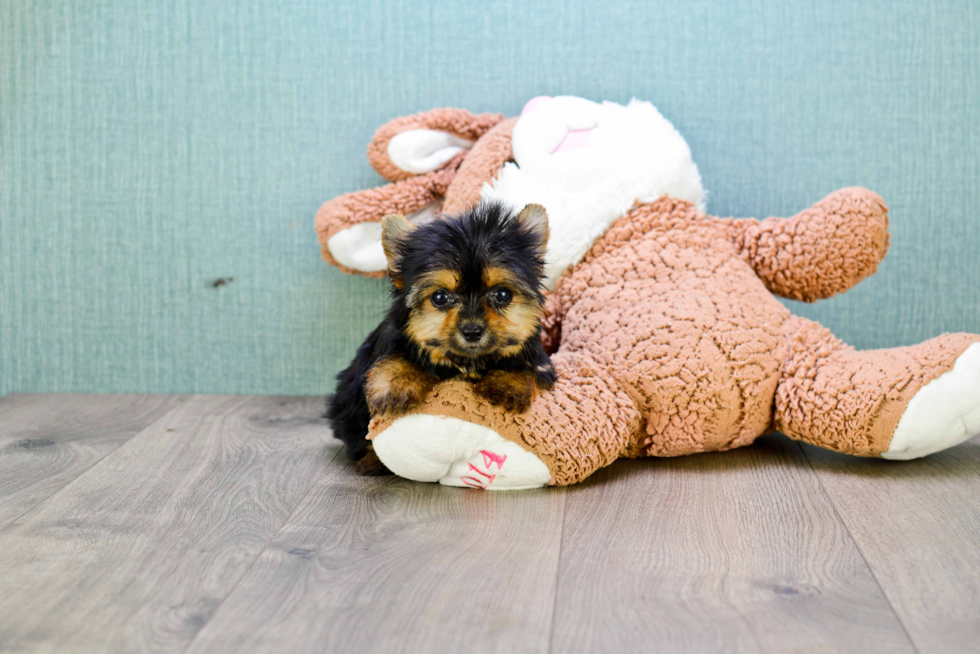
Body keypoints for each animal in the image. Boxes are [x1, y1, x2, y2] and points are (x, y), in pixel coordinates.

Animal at [328, 201, 556, 476]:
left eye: (502, 294)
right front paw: (397, 384)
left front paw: (507, 383)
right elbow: (398, 355)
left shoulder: (538, 359)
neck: (467, 363)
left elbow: (522, 360)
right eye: (440, 298)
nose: (472, 331)